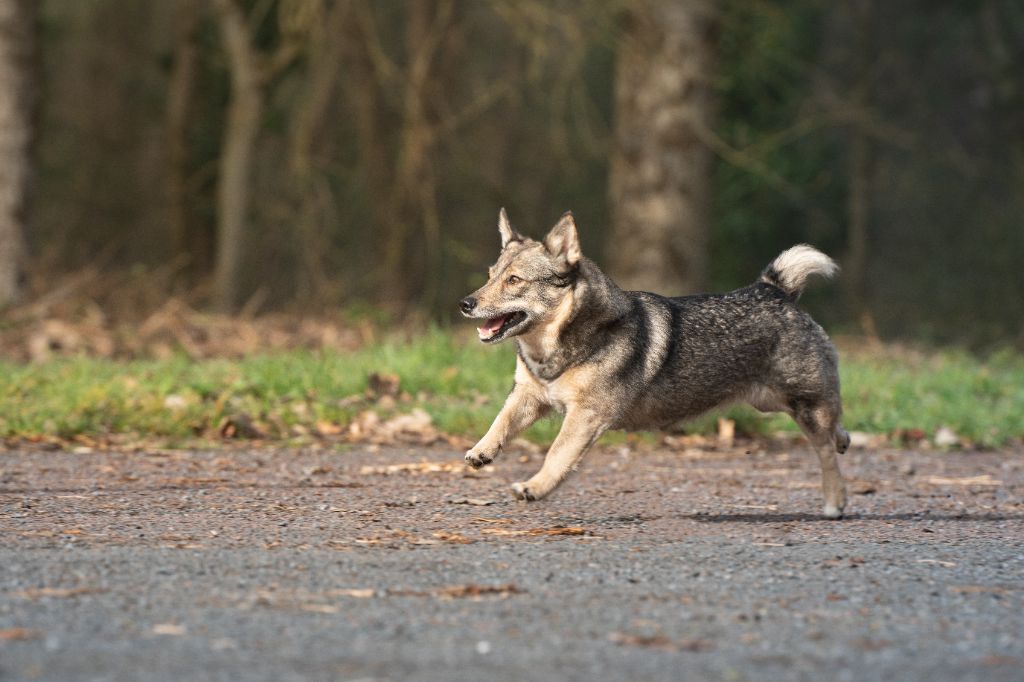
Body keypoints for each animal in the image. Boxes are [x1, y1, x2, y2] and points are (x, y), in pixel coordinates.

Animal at [460, 206, 851, 516]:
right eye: (491, 275)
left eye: (514, 280)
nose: (465, 303)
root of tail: (773, 290)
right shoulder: (528, 396)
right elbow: (501, 423)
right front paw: (482, 451)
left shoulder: (585, 416)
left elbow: (557, 455)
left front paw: (535, 487)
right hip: (772, 403)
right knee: (835, 431)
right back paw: (845, 441)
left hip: (804, 406)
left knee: (825, 451)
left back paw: (835, 503)